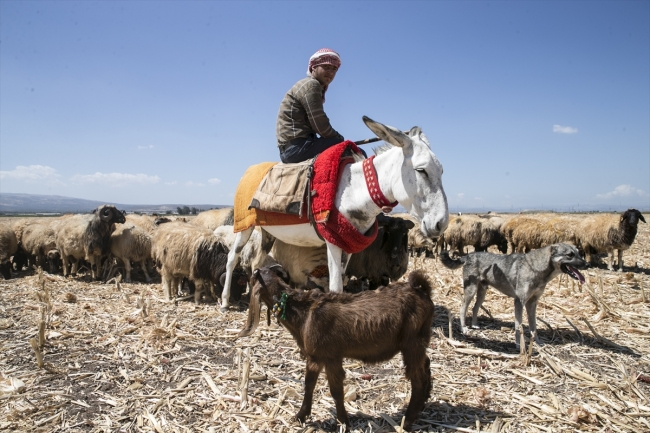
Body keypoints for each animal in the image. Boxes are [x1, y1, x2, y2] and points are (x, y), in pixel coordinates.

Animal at [235, 264, 432, 430]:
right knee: (426, 365)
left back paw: (408, 419)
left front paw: (340, 421)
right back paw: (423, 403)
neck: (303, 313)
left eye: (251, 280)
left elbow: (330, 389)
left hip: (412, 343)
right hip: (419, 342)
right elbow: (317, 386)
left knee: (418, 379)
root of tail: (421, 290)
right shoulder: (321, 357)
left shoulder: (327, 356)